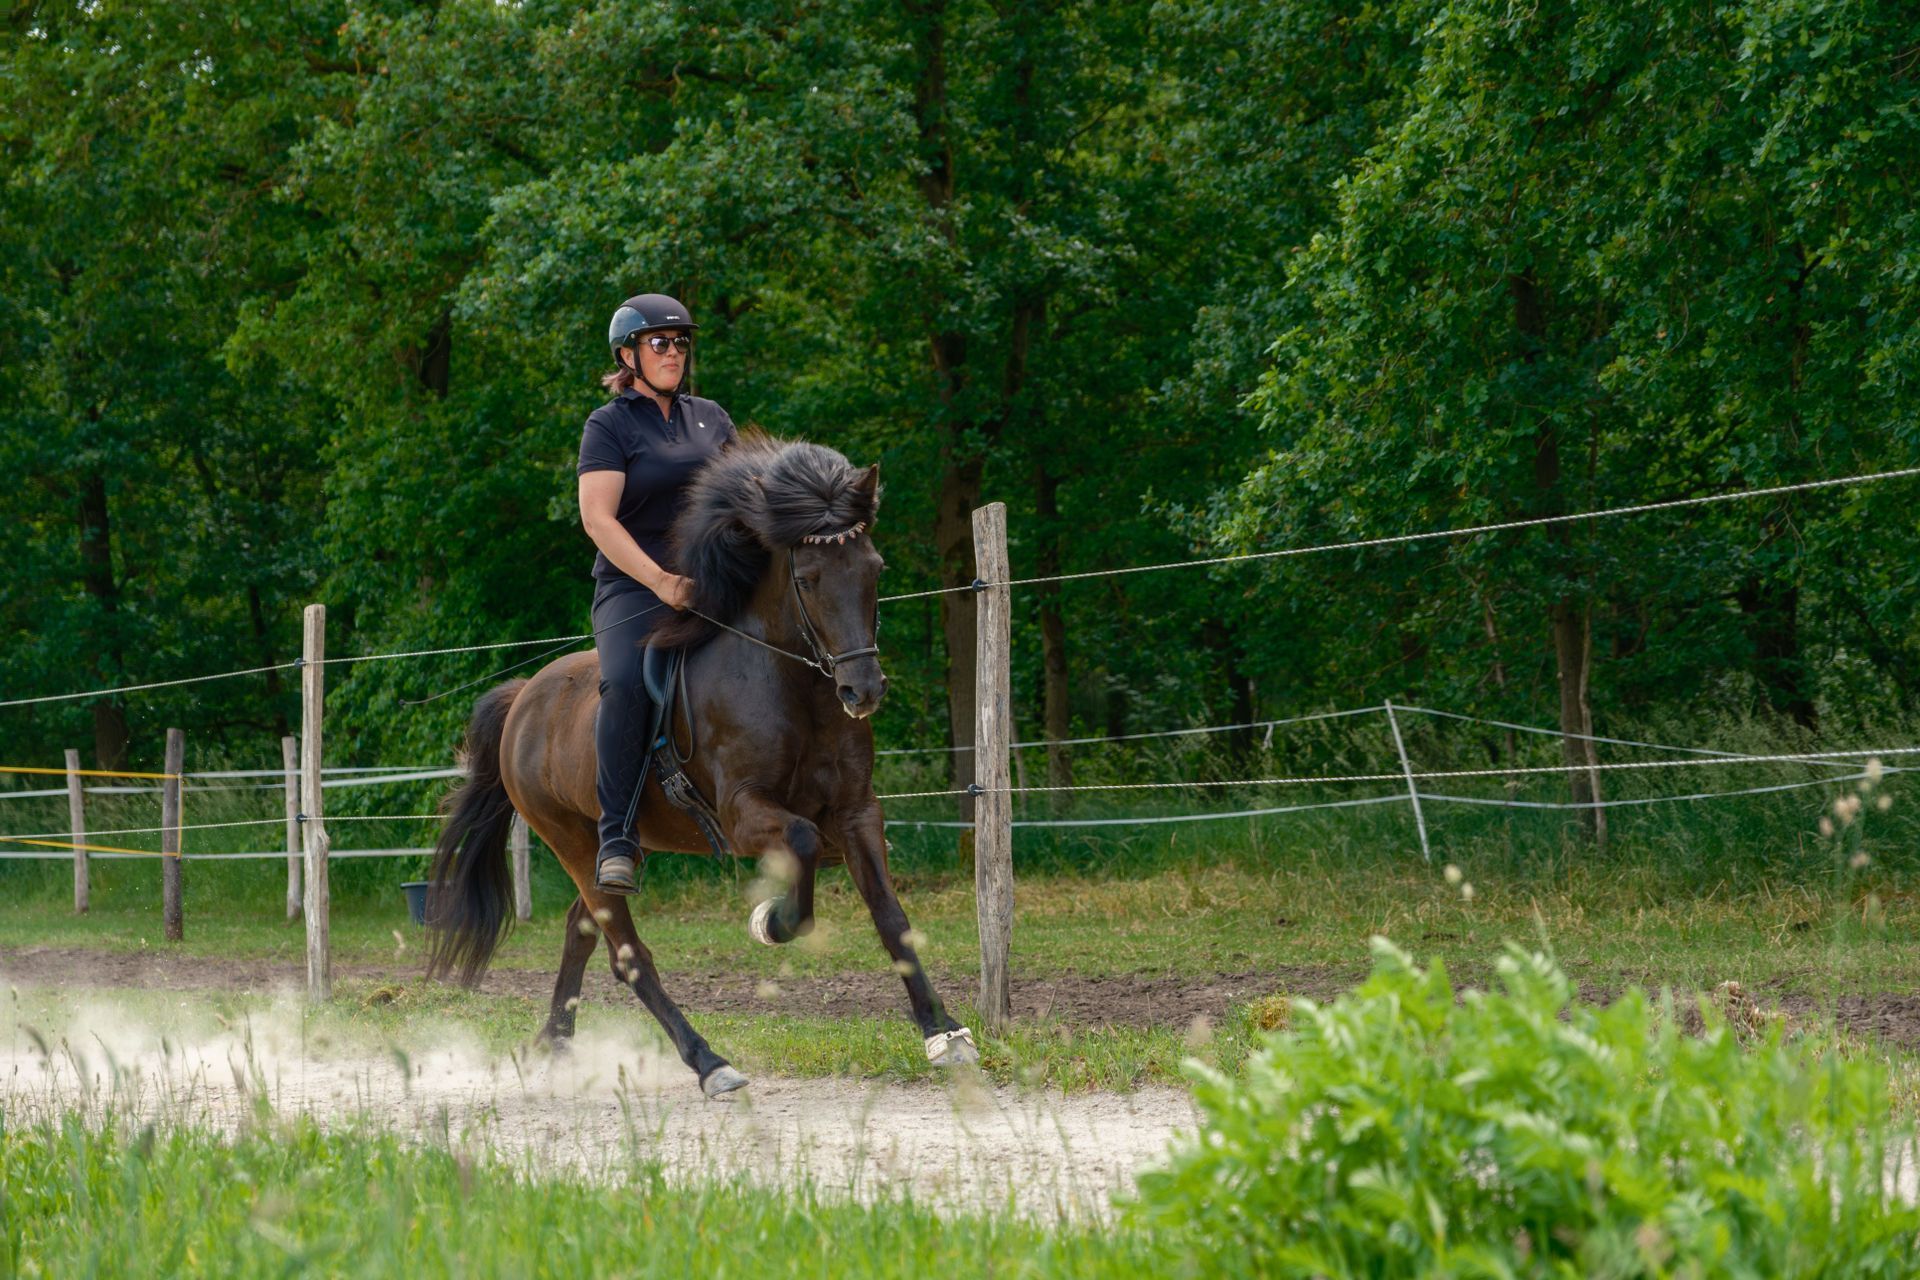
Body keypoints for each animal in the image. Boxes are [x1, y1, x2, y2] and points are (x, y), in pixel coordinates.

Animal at [423, 435, 977, 1097]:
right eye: (808, 578)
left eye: (875, 570)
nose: (862, 690)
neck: (792, 687)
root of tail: (524, 698)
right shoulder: (744, 815)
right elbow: (801, 845)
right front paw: (770, 921)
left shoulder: (857, 811)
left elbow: (892, 916)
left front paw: (942, 1032)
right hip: (571, 841)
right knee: (628, 955)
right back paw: (708, 1062)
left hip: (616, 844)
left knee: (581, 932)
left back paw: (554, 1045)